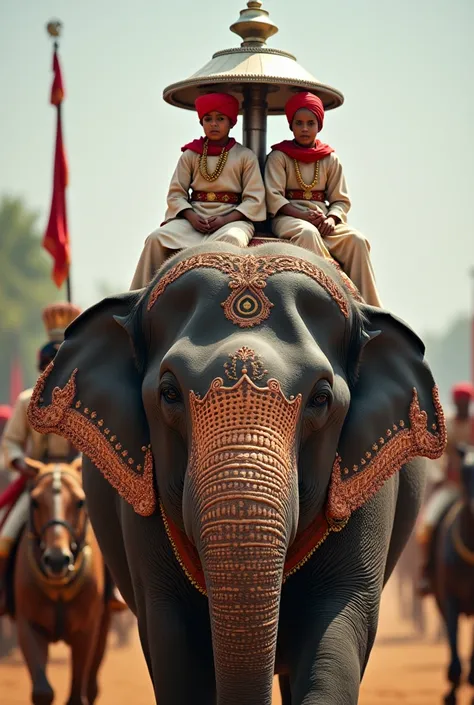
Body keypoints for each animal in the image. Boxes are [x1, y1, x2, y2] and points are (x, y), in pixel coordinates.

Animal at [9, 460, 110, 704]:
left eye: (80, 502)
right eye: (35, 502)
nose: (56, 560)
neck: (59, 589)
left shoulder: (86, 630)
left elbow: (76, 696)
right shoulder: (29, 624)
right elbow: (42, 692)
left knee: (91, 686)